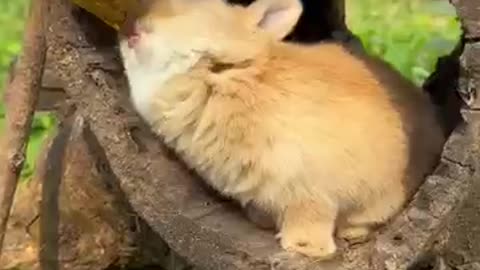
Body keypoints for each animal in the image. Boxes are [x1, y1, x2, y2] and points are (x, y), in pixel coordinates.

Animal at [117, 0, 446, 260]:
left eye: (194, 8)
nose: (132, 24)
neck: (229, 76)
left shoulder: (312, 192)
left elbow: (311, 220)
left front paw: (304, 247)